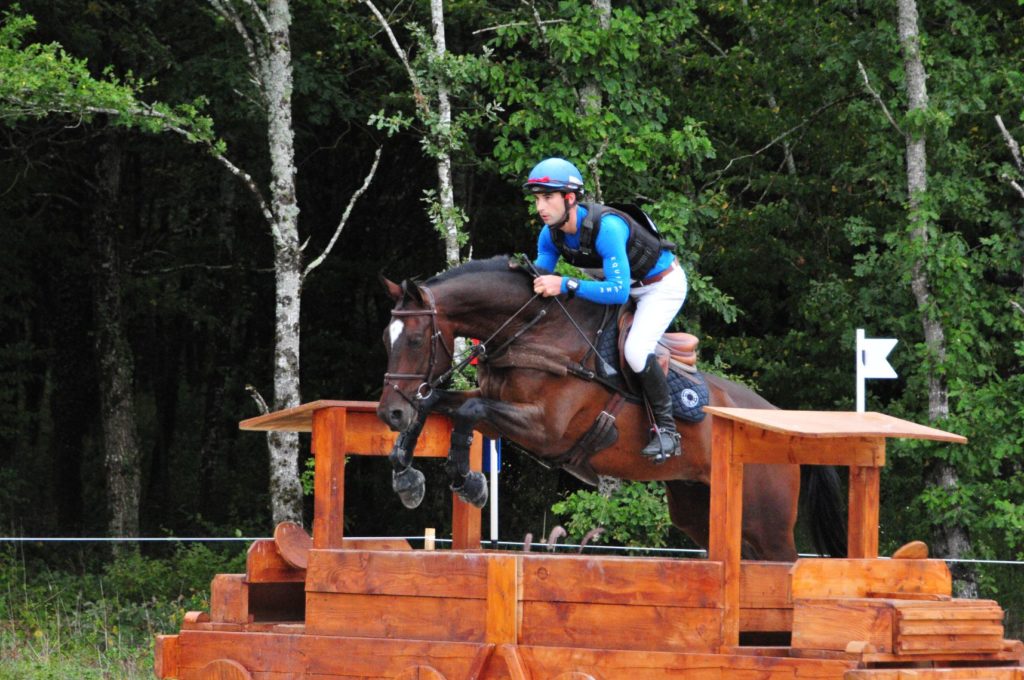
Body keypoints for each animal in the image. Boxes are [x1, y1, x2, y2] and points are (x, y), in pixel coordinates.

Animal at [380, 255, 843, 557]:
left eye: (416, 340)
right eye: (387, 338)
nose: (389, 413)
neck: (533, 331)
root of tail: (785, 423)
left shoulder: (545, 429)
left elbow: (466, 413)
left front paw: (468, 482)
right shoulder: (499, 406)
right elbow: (438, 403)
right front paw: (407, 473)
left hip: (768, 524)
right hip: (702, 511)